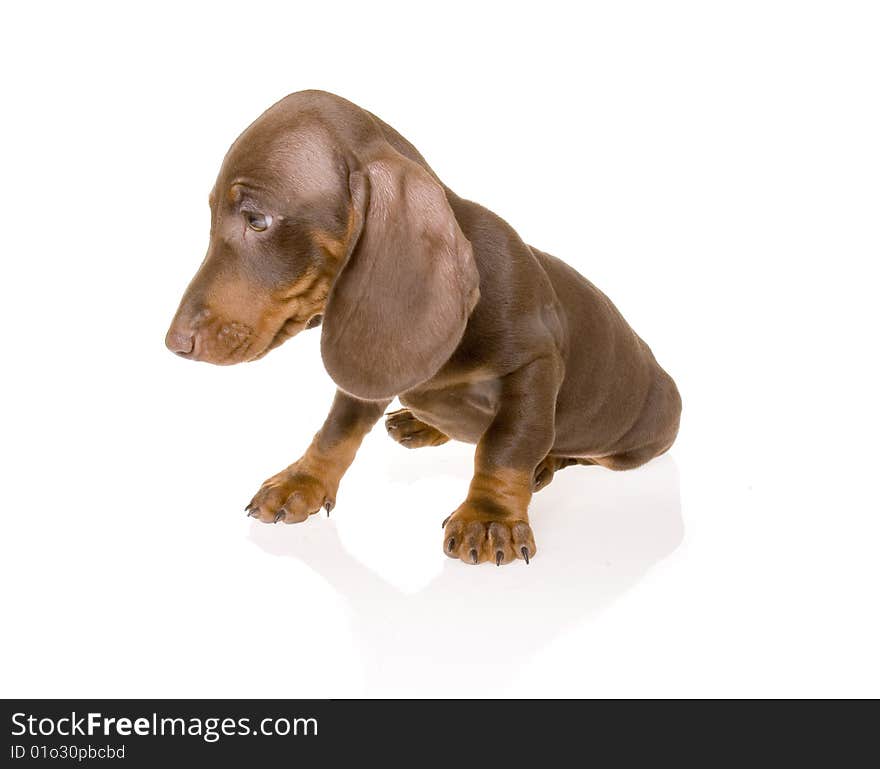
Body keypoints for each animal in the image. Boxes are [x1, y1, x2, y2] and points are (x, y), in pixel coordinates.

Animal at [165, 93, 680, 568]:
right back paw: (422, 422)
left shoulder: (535, 365)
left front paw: (489, 517)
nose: (174, 344)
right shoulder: (366, 375)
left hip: (633, 441)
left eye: (257, 219)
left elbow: (507, 446)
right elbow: (336, 430)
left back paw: (546, 461)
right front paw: (303, 481)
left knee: (575, 450)